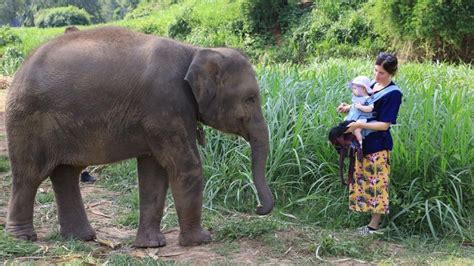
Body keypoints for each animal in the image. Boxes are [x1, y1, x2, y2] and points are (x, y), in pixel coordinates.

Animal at [4, 26, 274, 247]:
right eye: (250, 98)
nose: (258, 208)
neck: (194, 51)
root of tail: (21, 67)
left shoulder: (157, 118)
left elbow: (153, 173)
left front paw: (151, 245)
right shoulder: (166, 105)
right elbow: (186, 166)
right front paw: (200, 240)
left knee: (66, 173)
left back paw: (81, 237)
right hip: (27, 119)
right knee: (30, 175)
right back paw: (22, 238)